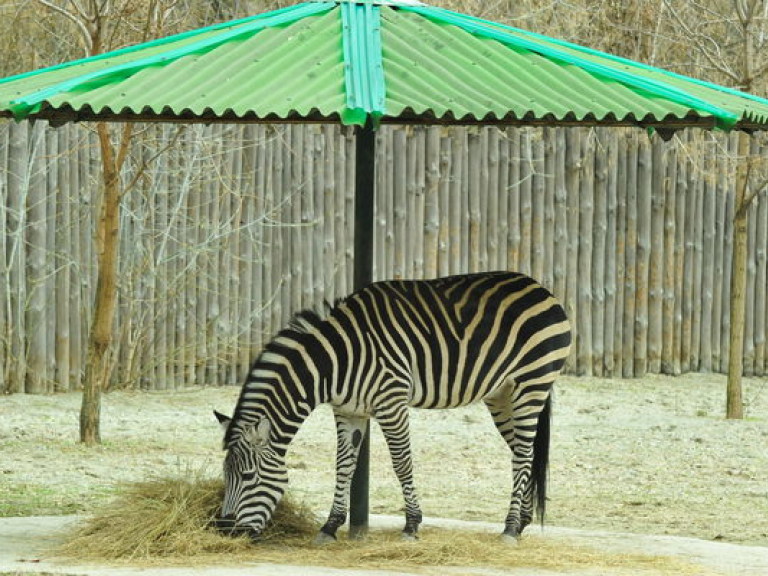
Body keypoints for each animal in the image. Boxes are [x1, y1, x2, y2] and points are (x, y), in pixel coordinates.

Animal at [213, 272, 572, 544]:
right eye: (225, 474)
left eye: (247, 475)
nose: (226, 530)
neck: (335, 362)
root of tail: (537, 285)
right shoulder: (348, 411)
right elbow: (343, 466)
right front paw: (330, 526)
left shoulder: (391, 402)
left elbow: (402, 463)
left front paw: (412, 525)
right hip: (501, 394)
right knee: (523, 452)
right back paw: (521, 522)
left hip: (531, 383)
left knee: (523, 454)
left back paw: (509, 528)